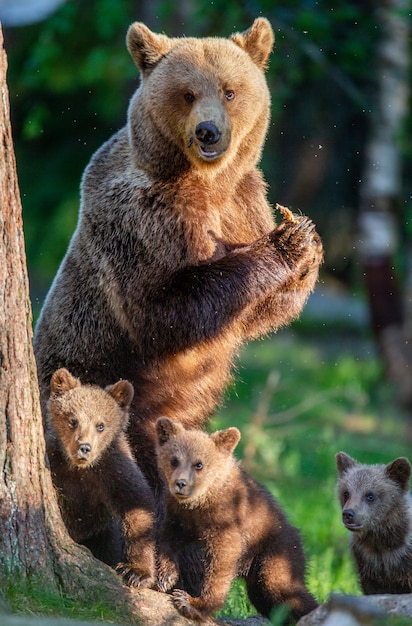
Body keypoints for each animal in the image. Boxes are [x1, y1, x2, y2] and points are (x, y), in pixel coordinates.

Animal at [33, 17, 324, 488]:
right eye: (187, 93)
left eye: (229, 90)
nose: (209, 131)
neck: (205, 182)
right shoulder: (143, 217)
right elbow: (164, 308)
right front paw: (285, 244)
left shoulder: (244, 202)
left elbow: (259, 315)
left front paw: (306, 241)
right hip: (95, 391)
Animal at [45, 366, 156, 584]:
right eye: (73, 420)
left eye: (101, 425)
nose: (84, 448)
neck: (77, 469)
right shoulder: (56, 464)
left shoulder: (112, 470)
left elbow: (137, 505)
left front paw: (136, 571)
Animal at [153, 416, 318, 620]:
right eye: (174, 460)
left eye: (199, 464)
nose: (181, 483)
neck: (202, 502)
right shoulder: (180, 515)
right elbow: (168, 537)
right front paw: (164, 576)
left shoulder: (227, 520)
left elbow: (222, 561)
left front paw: (191, 602)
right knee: (263, 597)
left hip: (277, 552)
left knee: (283, 588)